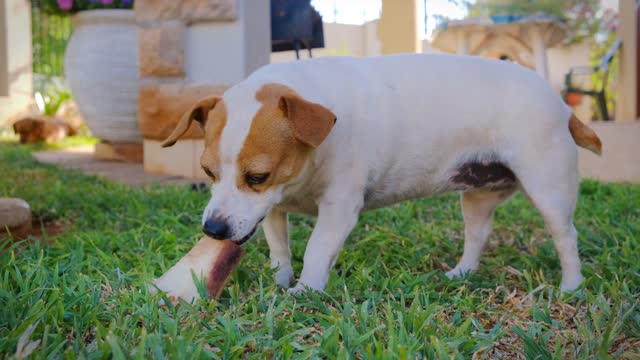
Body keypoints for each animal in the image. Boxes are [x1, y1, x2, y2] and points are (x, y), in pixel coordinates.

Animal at [160, 54, 600, 296]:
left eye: (256, 176)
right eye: (207, 171)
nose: (213, 229)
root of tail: (562, 105)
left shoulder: (337, 208)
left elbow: (317, 250)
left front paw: (304, 292)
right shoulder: (272, 210)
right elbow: (279, 249)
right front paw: (280, 280)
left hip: (548, 189)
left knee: (566, 236)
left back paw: (572, 286)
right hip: (477, 196)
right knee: (478, 235)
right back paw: (461, 273)